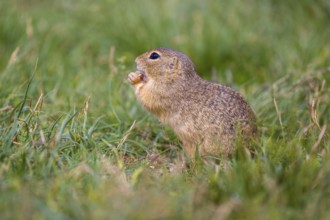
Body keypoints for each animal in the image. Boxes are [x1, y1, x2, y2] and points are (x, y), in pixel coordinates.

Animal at [127, 47, 256, 158]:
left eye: (154, 55)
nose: (136, 60)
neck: (176, 77)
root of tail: (249, 144)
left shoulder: (161, 92)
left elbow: (147, 98)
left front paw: (134, 79)